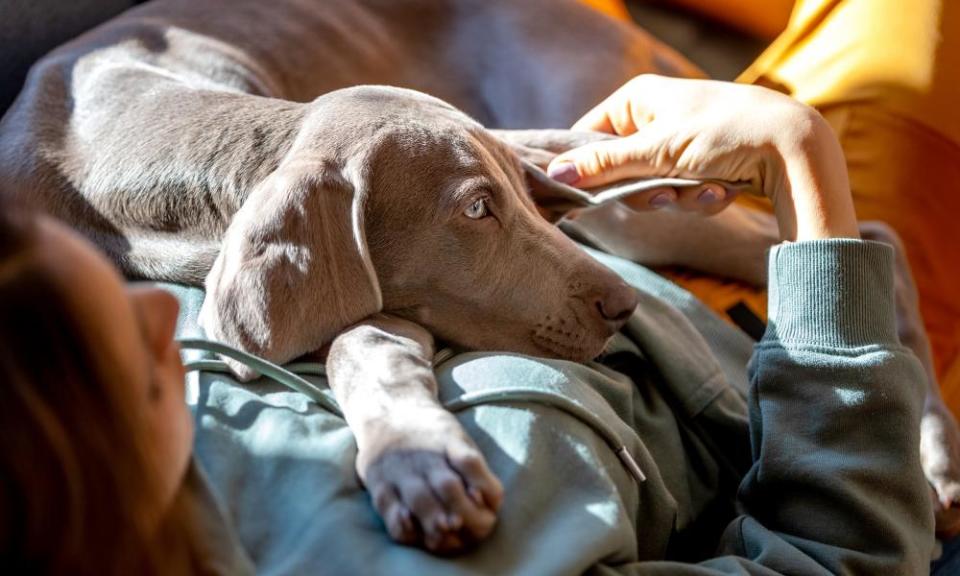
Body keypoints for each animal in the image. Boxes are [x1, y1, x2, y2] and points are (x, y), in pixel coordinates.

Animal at [1, 0, 960, 552]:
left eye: (506, 203)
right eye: (473, 210)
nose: (620, 307)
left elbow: (356, 344)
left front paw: (420, 467)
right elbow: (364, 343)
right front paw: (421, 464)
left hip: (606, 178)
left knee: (864, 232)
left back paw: (937, 457)